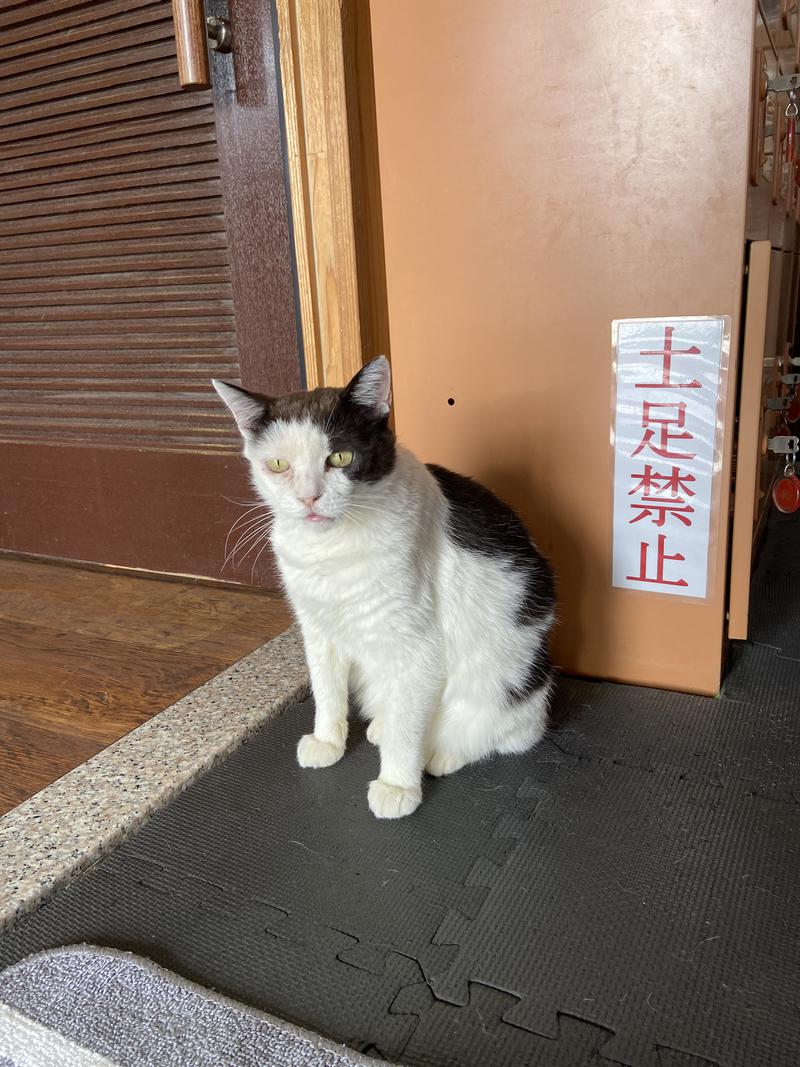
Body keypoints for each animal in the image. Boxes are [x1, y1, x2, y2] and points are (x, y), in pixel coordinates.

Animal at [213, 358, 554, 815]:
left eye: (340, 457)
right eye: (279, 465)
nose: (309, 498)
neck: (332, 548)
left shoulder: (417, 651)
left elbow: (407, 730)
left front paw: (397, 785)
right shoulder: (318, 631)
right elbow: (326, 690)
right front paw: (327, 741)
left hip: (505, 682)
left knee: (500, 734)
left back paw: (442, 752)